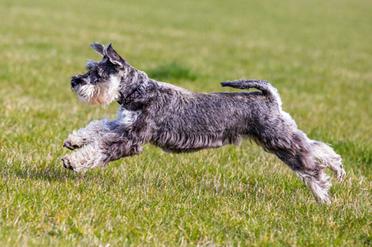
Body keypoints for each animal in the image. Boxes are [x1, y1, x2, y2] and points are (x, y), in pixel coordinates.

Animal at [61, 43, 346, 205]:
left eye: (97, 73)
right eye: (89, 67)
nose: (74, 81)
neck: (138, 92)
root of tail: (270, 98)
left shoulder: (131, 138)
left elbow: (100, 148)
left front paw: (73, 161)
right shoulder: (122, 126)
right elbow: (97, 128)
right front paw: (74, 141)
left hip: (278, 139)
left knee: (310, 165)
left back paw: (323, 195)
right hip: (282, 134)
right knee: (317, 147)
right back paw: (338, 168)